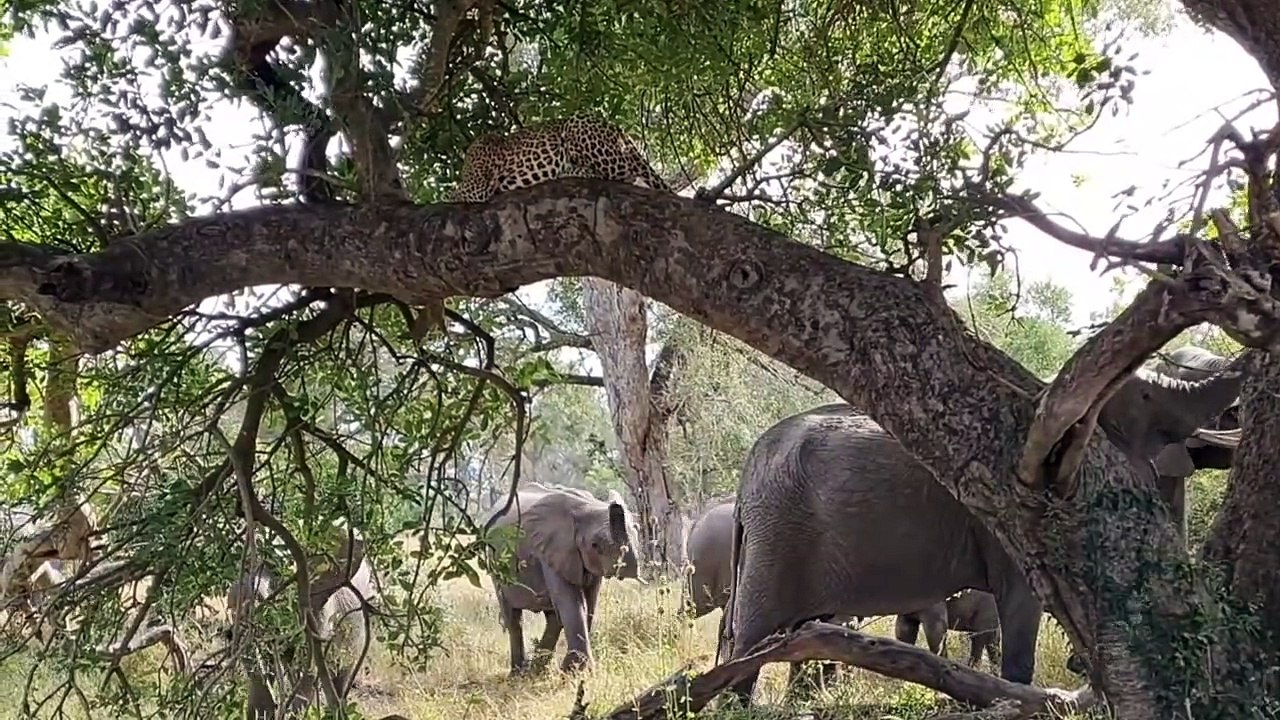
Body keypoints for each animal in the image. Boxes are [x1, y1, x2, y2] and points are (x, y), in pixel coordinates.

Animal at [411, 113, 671, 339]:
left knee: (618, 175)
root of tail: (626, 137)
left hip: (581, 128)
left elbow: (446, 196)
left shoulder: (474, 188)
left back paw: (573, 171)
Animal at [482, 482, 642, 674]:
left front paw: (572, 670)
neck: (589, 507)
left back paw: (536, 669)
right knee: (513, 617)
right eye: (595, 545)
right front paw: (577, 672)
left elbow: (589, 602)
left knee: (552, 618)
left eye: (637, 532)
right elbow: (571, 602)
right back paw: (519, 673)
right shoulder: (551, 550)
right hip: (496, 565)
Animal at [721, 364, 1245, 702]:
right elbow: (1020, 611)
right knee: (751, 639)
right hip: (780, 535)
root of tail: (746, 478)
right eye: (1146, 397)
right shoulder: (1013, 518)